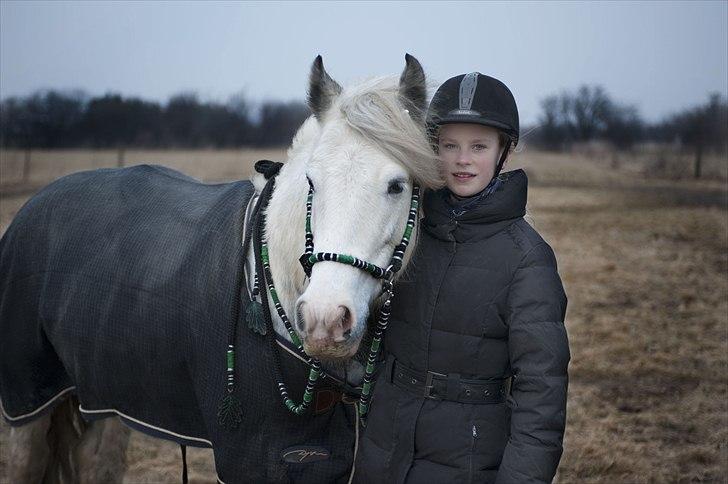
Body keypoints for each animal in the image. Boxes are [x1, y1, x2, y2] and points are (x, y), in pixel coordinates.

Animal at [2, 54, 440, 482]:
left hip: (105, 397)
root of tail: (35, 204)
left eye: (397, 186)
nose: (324, 320)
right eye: (312, 182)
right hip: (30, 400)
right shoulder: (252, 459)